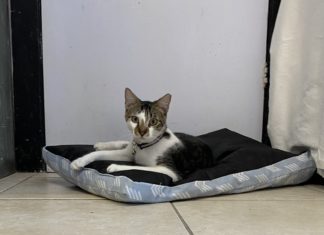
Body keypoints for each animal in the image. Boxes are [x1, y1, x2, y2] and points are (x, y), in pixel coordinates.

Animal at [69, 88, 214, 182]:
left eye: (153, 121)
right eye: (134, 119)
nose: (142, 131)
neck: (143, 147)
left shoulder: (170, 171)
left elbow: (140, 167)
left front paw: (115, 166)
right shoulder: (128, 153)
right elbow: (98, 154)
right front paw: (79, 161)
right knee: (124, 144)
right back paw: (101, 145)